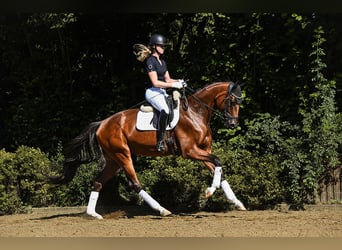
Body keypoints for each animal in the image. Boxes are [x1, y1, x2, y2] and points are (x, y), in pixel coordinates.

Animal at [48, 81, 246, 218]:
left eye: (240, 102)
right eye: (232, 101)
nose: (233, 124)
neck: (195, 113)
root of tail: (102, 123)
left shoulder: (203, 150)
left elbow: (219, 169)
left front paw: (236, 202)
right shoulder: (190, 151)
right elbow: (218, 161)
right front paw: (209, 191)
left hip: (113, 159)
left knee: (98, 182)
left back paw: (93, 214)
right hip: (123, 154)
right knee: (135, 184)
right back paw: (162, 210)